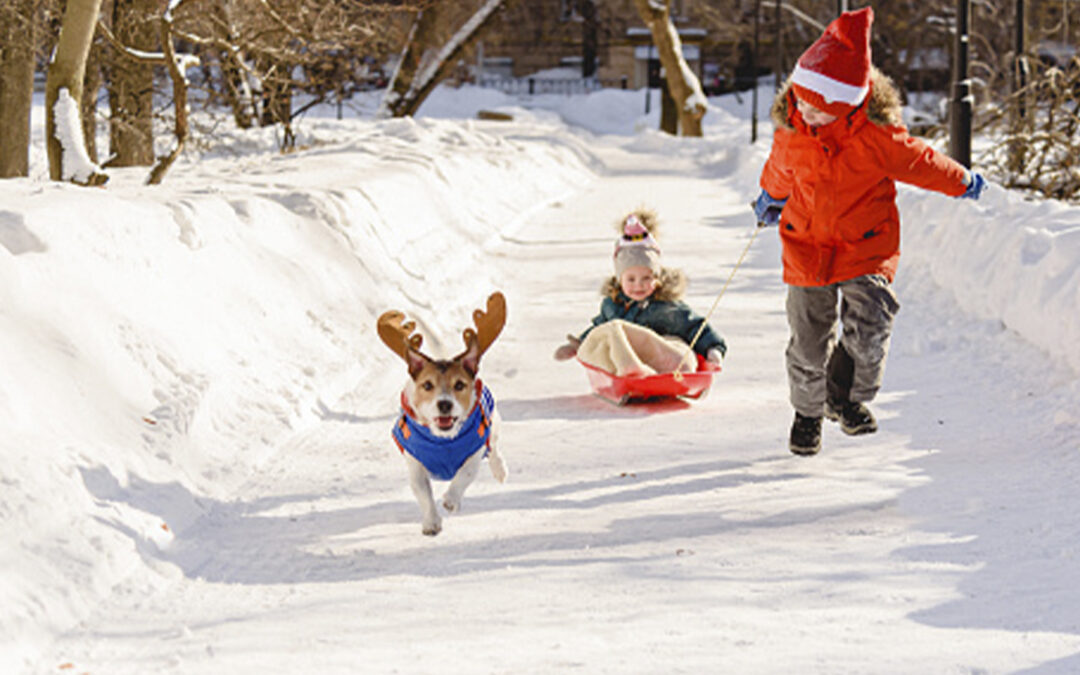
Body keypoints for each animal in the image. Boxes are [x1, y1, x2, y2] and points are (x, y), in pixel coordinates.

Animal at [378, 291, 507, 533]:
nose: (444, 404)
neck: (443, 440)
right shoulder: (415, 461)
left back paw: (500, 470)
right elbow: (423, 492)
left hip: (494, 422)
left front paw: (451, 500)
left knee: (494, 447)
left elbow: (466, 473)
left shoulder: (475, 449)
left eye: (460, 385)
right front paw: (431, 522)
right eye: (428, 385)